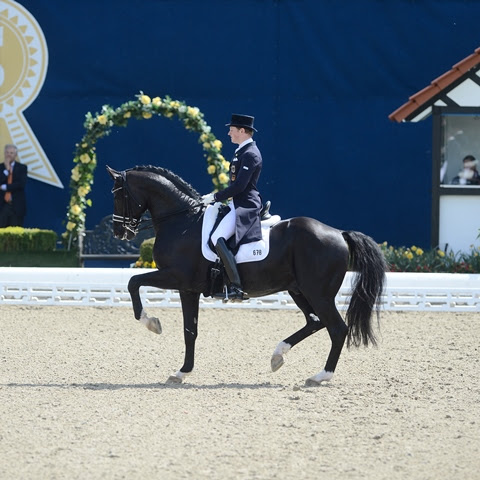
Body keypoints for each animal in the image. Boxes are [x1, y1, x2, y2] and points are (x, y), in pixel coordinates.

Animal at [106, 165, 386, 386]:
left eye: (118, 195)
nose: (120, 232)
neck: (182, 221)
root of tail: (339, 233)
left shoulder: (176, 277)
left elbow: (133, 282)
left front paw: (151, 322)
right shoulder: (188, 288)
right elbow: (190, 331)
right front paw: (181, 372)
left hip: (318, 293)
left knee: (337, 329)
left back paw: (320, 376)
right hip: (298, 289)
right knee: (315, 322)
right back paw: (278, 356)